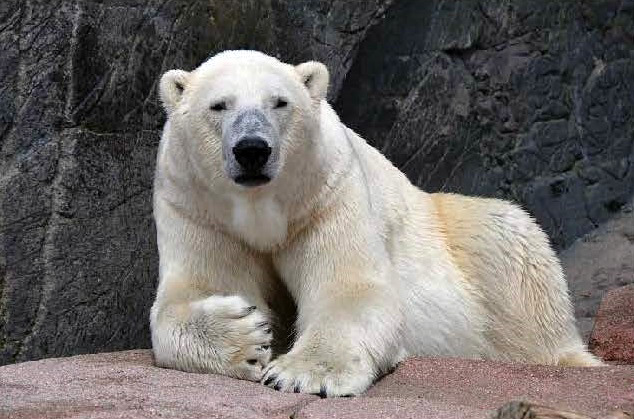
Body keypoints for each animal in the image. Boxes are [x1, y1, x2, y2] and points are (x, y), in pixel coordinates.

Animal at [149, 49, 596, 398]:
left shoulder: (327, 195)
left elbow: (352, 287)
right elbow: (198, 289)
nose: (252, 150)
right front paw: (246, 337)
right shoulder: (198, 207)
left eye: (279, 102)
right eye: (218, 105)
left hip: (474, 245)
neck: (262, 207)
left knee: (511, 246)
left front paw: (303, 375)